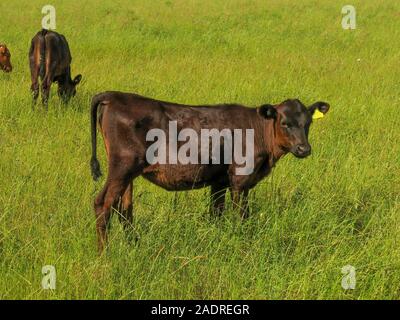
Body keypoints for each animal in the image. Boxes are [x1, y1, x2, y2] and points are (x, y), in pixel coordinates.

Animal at [89, 92, 330, 252]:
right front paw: (242, 242)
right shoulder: (240, 179)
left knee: (124, 207)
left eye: (308, 123)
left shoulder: (219, 181)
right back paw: (105, 253)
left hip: (128, 172)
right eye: (285, 122)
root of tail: (115, 95)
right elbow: (242, 215)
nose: (304, 149)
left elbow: (216, 213)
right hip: (123, 166)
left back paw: (135, 244)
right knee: (103, 203)